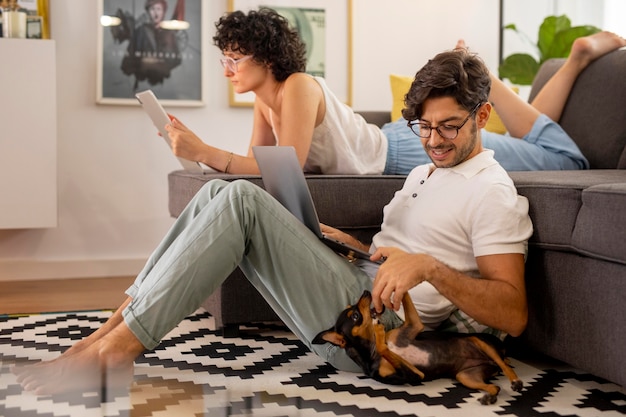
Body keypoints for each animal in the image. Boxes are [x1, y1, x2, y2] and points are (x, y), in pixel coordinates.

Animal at [310, 290, 520, 404]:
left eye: (352, 308)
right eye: (355, 316)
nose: (366, 293)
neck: (371, 352)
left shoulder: (413, 327)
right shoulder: (415, 375)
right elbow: (385, 348)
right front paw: (378, 332)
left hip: (480, 341)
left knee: (505, 365)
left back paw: (514, 380)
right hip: (466, 376)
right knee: (496, 384)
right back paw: (491, 395)